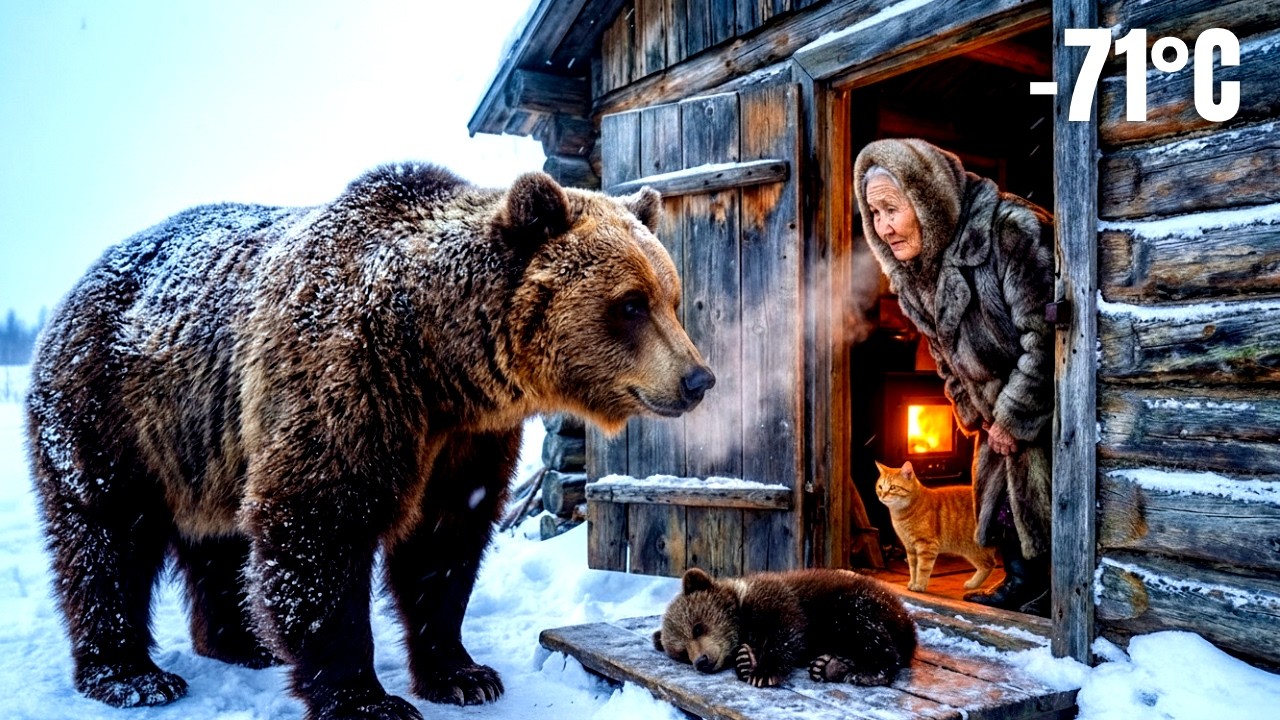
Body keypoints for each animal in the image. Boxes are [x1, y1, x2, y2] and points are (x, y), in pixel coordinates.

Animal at [25, 163, 714, 720]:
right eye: (630, 303)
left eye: (673, 296)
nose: (697, 379)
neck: (438, 362)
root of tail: (77, 286)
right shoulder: (348, 384)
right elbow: (320, 528)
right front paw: (366, 698)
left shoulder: (465, 440)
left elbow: (444, 544)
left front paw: (462, 673)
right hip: (112, 411)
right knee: (104, 535)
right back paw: (132, 675)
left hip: (208, 444)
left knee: (218, 543)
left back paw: (240, 641)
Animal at [653, 567, 917, 688]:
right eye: (682, 652)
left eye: (697, 627)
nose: (702, 661)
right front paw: (745, 659)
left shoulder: (775, 599)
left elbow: (786, 631)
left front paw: (763, 671)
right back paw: (828, 666)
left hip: (854, 604)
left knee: (871, 635)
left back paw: (868, 672)